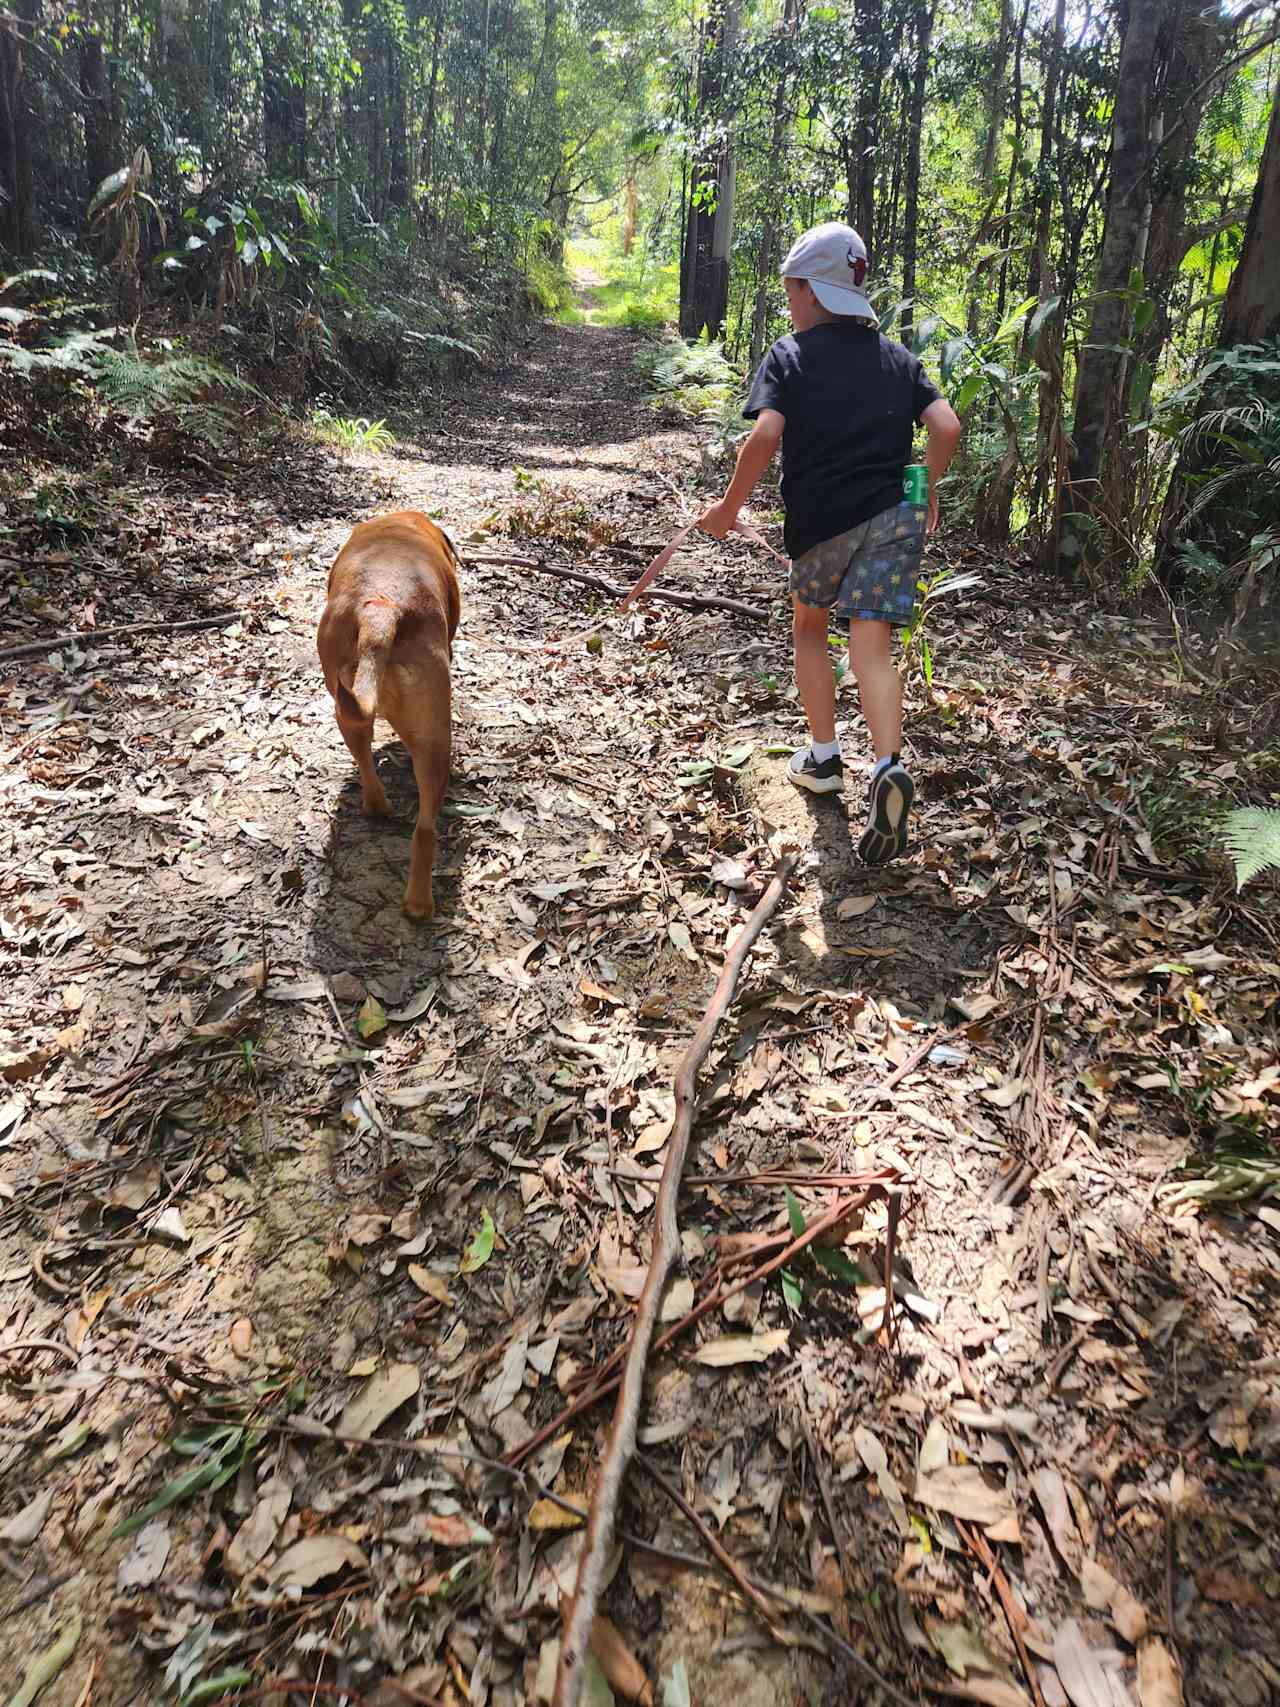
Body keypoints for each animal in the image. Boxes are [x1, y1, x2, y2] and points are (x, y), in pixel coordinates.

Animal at [319, 508, 464, 921]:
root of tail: (382, 611)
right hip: (436, 742)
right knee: (426, 828)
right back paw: (420, 905)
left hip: (346, 714)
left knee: (366, 763)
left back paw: (377, 808)